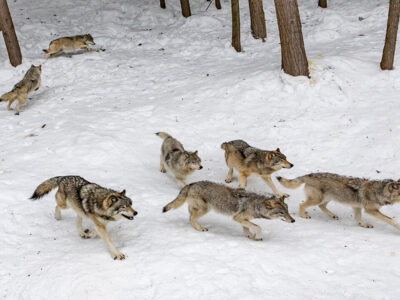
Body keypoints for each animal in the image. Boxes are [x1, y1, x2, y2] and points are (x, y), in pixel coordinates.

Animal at [162, 179, 294, 240]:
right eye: (281, 213)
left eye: (287, 211)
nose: (293, 221)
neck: (256, 205)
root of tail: (191, 184)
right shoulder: (237, 217)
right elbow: (258, 226)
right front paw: (258, 236)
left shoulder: (242, 219)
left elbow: (247, 228)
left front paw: (250, 236)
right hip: (205, 209)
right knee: (191, 218)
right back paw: (200, 228)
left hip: (199, 208)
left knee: (190, 216)